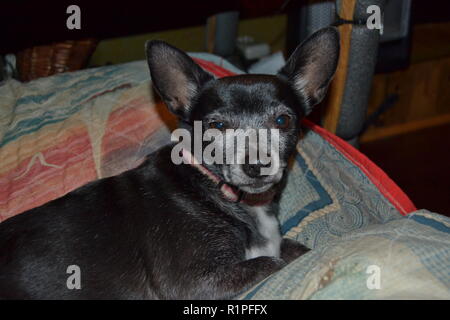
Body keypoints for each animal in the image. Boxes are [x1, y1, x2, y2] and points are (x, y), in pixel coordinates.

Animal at [0, 27, 338, 300]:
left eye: (282, 121)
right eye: (216, 126)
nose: (257, 165)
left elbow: (298, 249)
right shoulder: (196, 283)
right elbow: (275, 260)